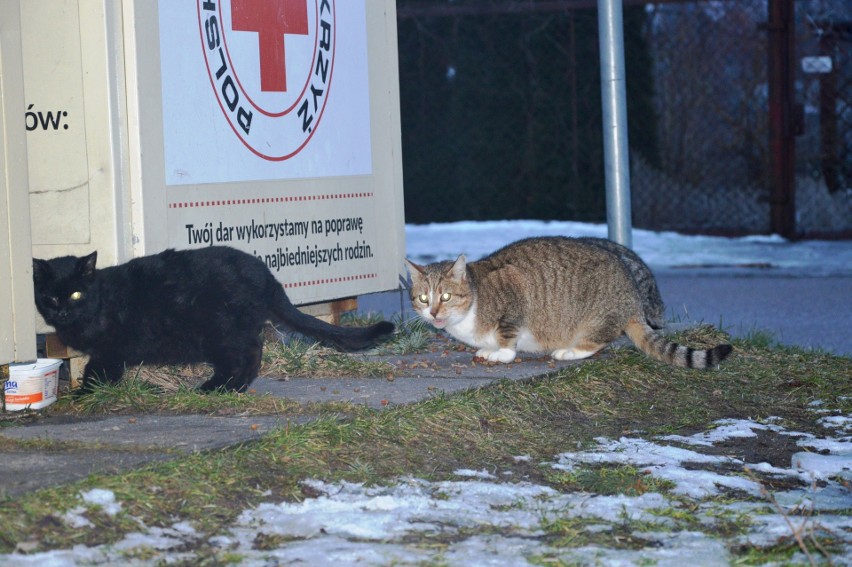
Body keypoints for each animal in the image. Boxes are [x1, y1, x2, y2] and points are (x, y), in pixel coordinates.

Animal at [31, 246, 394, 392]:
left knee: (247, 356)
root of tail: (268, 276)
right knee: (251, 355)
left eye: (75, 294)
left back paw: (216, 388)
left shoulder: (109, 349)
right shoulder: (111, 352)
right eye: (50, 298)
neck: (100, 301)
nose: (61, 311)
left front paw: (84, 395)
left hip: (219, 331)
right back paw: (230, 388)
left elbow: (96, 372)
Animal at [408, 235, 732, 368]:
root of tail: (633, 298)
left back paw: (570, 351)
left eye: (446, 296)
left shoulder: (514, 297)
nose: (433, 313)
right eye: (424, 298)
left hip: (597, 317)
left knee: (598, 340)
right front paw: (489, 349)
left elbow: (508, 338)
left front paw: (502, 353)